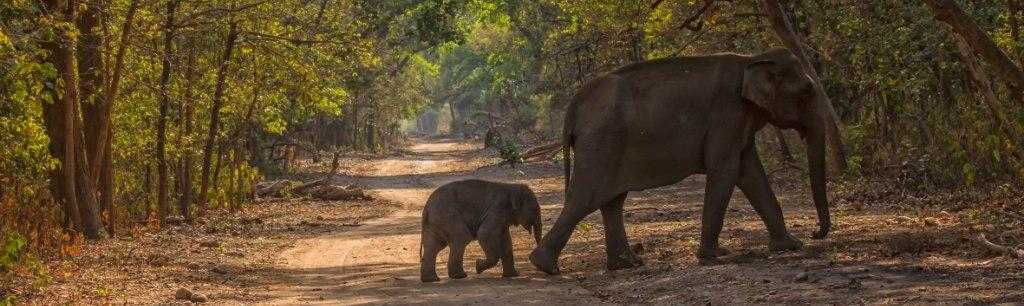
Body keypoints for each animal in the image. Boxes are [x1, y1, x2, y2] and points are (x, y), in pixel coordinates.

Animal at [532, 48, 843, 276]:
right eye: (806, 90)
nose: (816, 233)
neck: (751, 59)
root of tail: (574, 105)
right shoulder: (727, 115)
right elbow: (726, 170)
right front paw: (714, 256)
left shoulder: (738, 121)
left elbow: (750, 172)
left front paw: (790, 246)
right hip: (601, 143)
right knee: (585, 197)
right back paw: (545, 267)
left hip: (607, 145)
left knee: (611, 200)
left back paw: (626, 264)